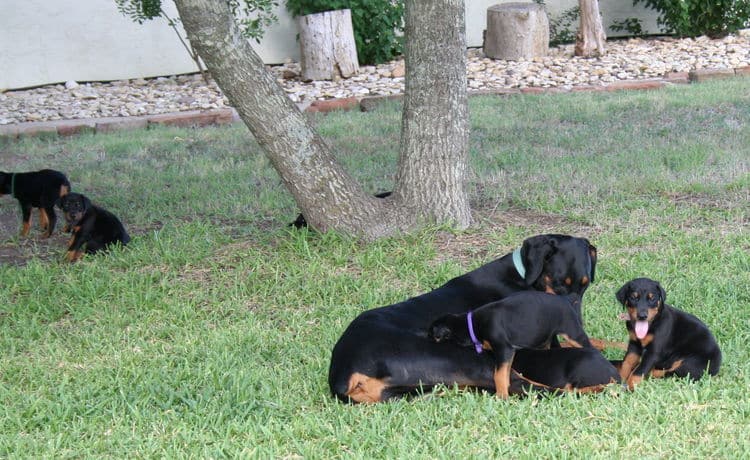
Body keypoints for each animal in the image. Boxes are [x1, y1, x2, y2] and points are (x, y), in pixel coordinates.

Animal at [428, 292, 592, 398]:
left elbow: (499, 374)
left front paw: (501, 396)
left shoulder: (504, 348)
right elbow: (505, 372)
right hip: (544, 335)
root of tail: (565, 299)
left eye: (432, 334)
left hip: (572, 332)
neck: (472, 324)